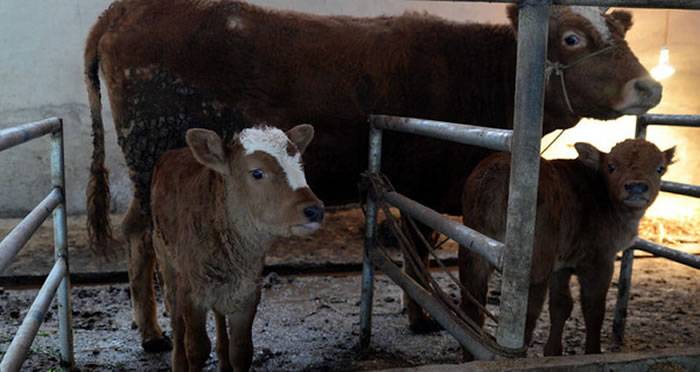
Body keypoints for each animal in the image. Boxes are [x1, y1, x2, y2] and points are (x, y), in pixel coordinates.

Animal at [152, 125, 324, 372]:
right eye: (257, 173)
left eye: (300, 165)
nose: (314, 210)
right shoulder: (192, 295)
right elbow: (197, 348)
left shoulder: (248, 293)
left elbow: (242, 351)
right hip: (164, 256)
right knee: (174, 313)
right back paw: (177, 361)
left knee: (218, 313)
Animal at [460, 139, 672, 358]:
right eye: (611, 166)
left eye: (660, 168)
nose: (637, 188)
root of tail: (494, 173)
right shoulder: (599, 261)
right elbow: (594, 308)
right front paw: (593, 352)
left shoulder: (562, 265)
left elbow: (561, 304)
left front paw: (553, 352)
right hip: (535, 265)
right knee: (525, 317)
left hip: (473, 252)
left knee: (470, 308)